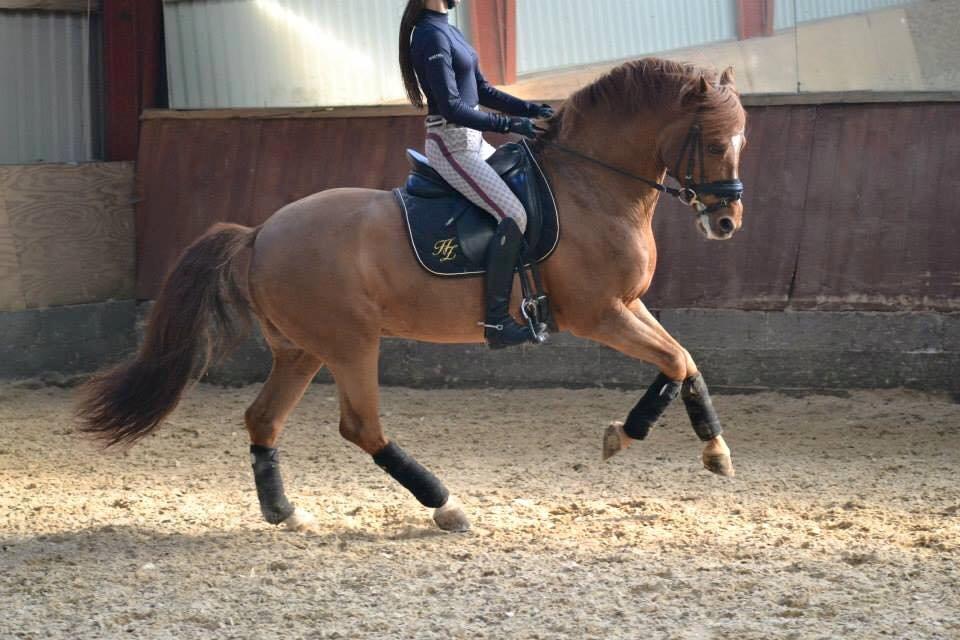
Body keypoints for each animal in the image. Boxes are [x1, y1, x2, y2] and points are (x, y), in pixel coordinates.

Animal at [78, 57, 747, 534]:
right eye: (716, 143)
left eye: (740, 143)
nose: (726, 224)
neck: (591, 185)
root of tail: (260, 232)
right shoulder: (598, 314)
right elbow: (675, 359)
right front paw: (628, 435)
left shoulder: (628, 305)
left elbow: (684, 359)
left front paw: (712, 449)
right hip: (350, 344)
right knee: (361, 427)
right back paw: (446, 507)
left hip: (302, 350)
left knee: (263, 418)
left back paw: (285, 512)